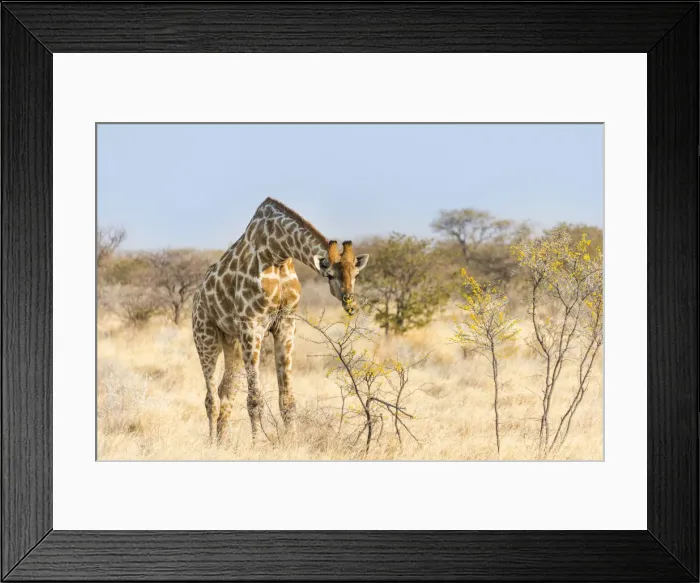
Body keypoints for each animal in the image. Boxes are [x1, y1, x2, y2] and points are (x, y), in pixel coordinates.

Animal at [192, 197, 370, 444]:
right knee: (211, 398)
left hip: (231, 340)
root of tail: (196, 297)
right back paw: (210, 444)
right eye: (329, 275)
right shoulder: (252, 325)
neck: (278, 253)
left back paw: (222, 444)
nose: (350, 304)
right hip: (205, 335)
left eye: (357, 274)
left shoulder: (286, 323)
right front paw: (257, 445)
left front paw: (292, 442)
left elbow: (287, 400)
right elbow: (255, 399)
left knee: (225, 392)